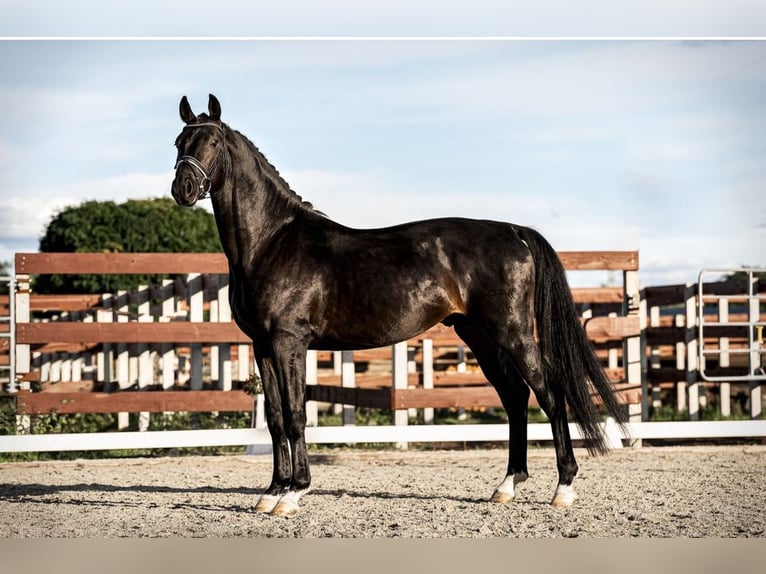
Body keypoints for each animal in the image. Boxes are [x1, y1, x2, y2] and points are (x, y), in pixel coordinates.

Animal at [171, 93, 628, 516]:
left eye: (212, 141)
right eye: (179, 141)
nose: (183, 189)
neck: (272, 241)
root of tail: (513, 231)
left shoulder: (289, 341)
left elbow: (297, 414)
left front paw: (294, 492)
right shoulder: (263, 345)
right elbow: (276, 419)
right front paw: (271, 492)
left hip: (512, 333)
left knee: (549, 394)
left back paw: (563, 487)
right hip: (480, 336)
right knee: (515, 398)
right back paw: (507, 486)